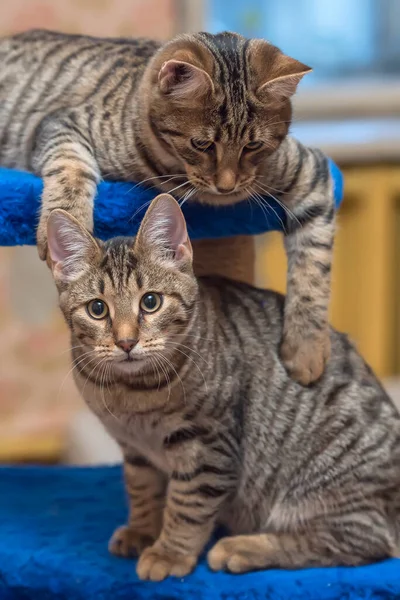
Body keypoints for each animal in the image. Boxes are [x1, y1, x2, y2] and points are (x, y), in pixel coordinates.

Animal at [0, 29, 334, 384]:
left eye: (253, 145)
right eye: (202, 144)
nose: (227, 186)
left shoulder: (315, 177)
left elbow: (314, 273)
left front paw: (306, 348)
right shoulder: (63, 123)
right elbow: (70, 167)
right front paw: (65, 219)